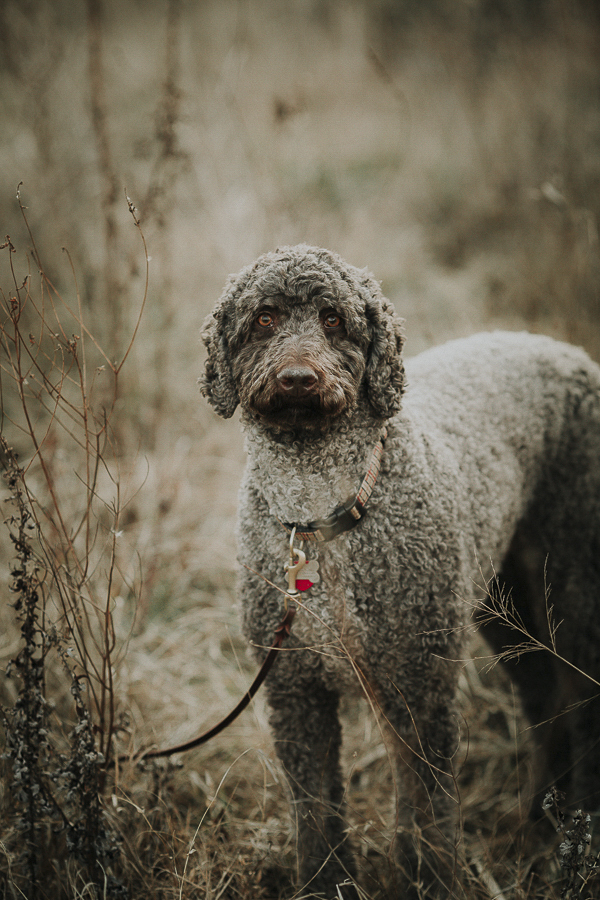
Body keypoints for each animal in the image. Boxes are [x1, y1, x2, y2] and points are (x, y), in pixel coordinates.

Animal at [200, 243, 600, 896]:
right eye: (263, 318)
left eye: (334, 319)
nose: (297, 379)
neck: (323, 515)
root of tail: (562, 348)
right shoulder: (297, 690)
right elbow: (316, 810)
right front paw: (325, 883)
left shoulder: (420, 684)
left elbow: (430, 811)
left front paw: (433, 882)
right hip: (504, 602)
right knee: (545, 700)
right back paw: (543, 818)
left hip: (573, 586)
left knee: (585, 701)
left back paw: (583, 830)